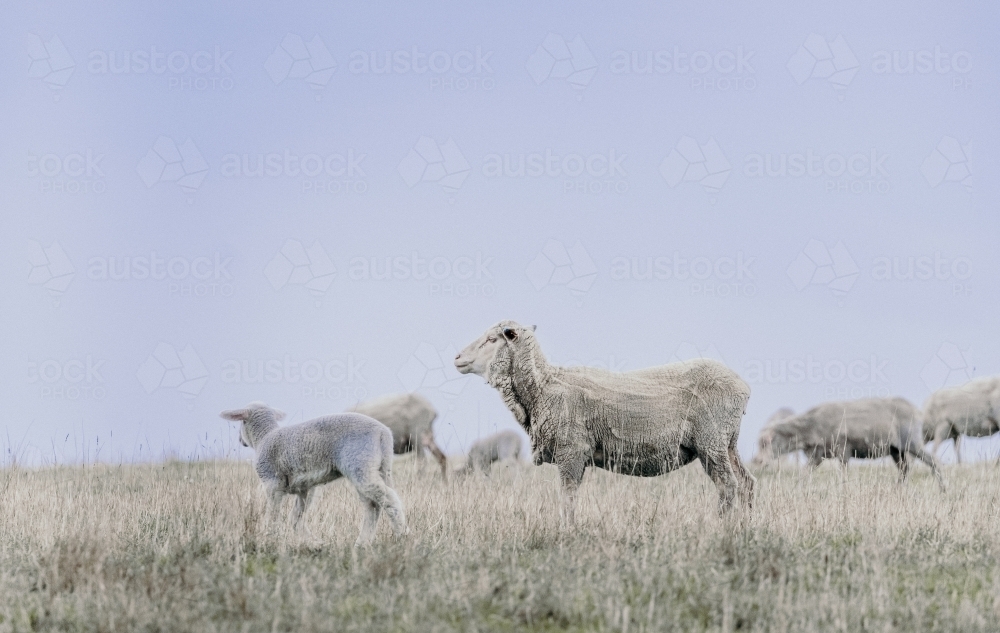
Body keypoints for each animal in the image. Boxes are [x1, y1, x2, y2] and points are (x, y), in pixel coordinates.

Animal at [220, 402, 406, 546]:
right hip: (380, 467)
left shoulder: (272, 482)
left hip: (359, 463)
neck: (263, 437)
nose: (241, 441)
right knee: (373, 504)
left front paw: (270, 537)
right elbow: (296, 517)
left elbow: (273, 513)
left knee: (386, 498)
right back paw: (362, 543)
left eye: (242, 423)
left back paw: (402, 534)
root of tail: (383, 432)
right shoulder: (305, 487)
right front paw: (314, 543)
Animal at [454, 320, 755, 525]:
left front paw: (567, 531)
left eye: (491, 339)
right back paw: (745, 526)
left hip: (711, 441)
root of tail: (742, 385)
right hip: (727, 442)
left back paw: (721, 526)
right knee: (746, 483)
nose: (457, 358)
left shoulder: (571, 451)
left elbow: (568, 497)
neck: (542, 388)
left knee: (728, 485)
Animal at [752, 398, 946, 490]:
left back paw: (943, 489)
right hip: (895, 450)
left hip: (911, 442)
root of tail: (917, 410)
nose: (759, 461)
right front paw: (799, 488)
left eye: (764, 443)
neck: (811, 426)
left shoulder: (843, 450)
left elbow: (843, 474)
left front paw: (843, 490)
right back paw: (898, 489)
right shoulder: (818, 456)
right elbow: (804, 473)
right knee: (905, 469)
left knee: (934, 462)